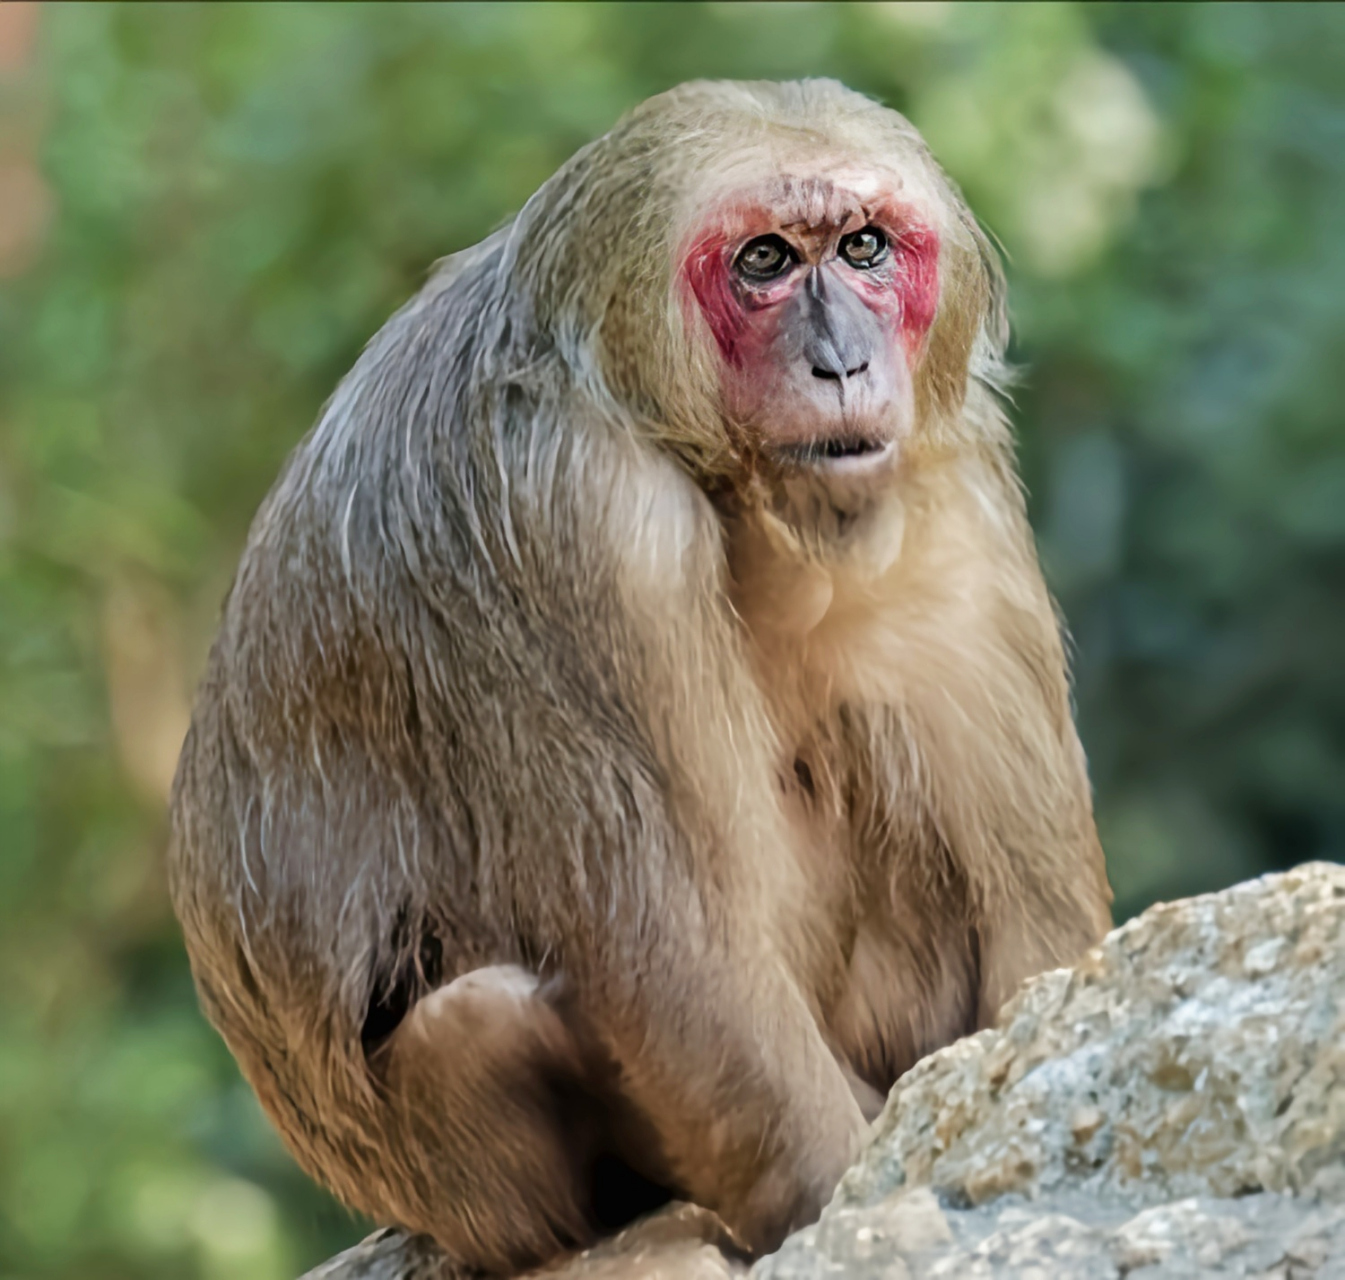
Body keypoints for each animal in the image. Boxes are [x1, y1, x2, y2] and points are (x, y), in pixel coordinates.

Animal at [168, 77, 1113, 1269]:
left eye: (863, 247)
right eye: (764, 260)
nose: (843, 361)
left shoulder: (951, 492)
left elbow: (1036, 923)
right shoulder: (582, 518)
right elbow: (671, 946)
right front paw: (838, 1194)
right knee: (478, 1019)